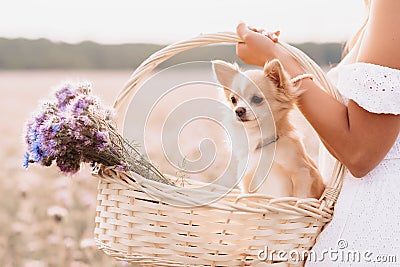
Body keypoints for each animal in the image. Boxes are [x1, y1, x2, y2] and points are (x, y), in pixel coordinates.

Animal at [212, 60, 324, 199]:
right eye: (233, 100)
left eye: (256, 99)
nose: (238, 110)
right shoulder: (247, 180)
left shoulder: (303, 173)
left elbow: (300, 197)